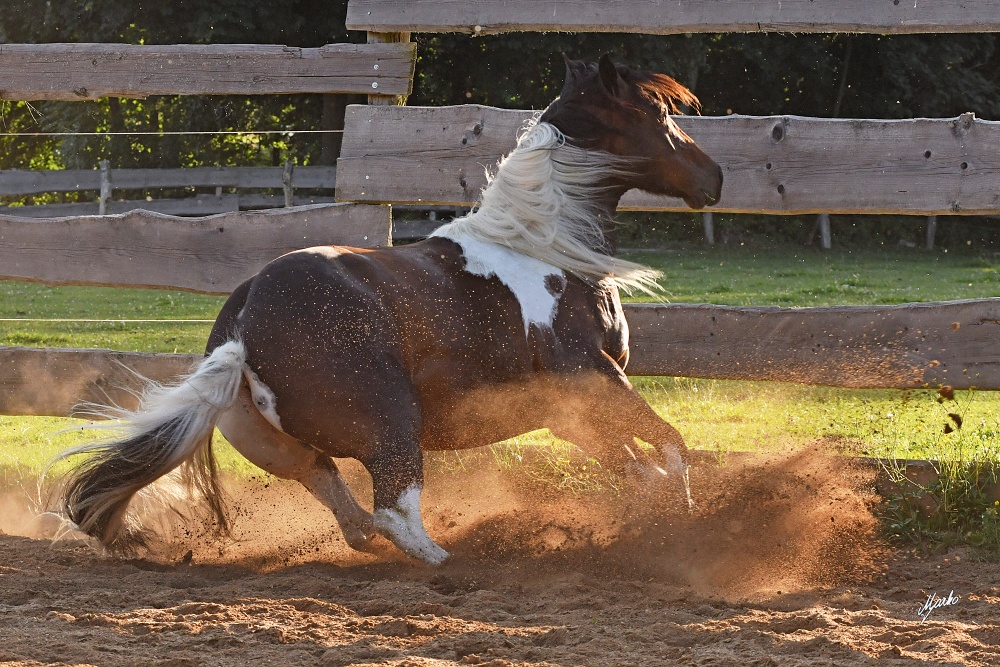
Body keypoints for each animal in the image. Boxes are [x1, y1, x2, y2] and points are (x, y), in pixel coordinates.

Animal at [58, 57, 720, 568]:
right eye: (658, 116)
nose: (713, 178)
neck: (542, 247)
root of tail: (242, 327)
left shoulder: (567, 414)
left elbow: (641, 468)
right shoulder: (594, 378)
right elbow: (670, 447)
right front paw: (679, 521)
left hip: (275, 445)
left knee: (344, 502)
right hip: (391, 422)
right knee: (395, 512)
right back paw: (457, 561)